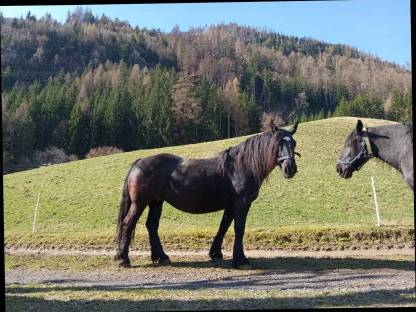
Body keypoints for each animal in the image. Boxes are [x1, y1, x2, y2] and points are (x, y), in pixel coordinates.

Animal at [114, 120, 300, 270]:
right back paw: (123, 259)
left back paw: (162, 257)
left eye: (294, 144)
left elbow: (223, 227)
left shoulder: (231, 205)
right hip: (140, 203)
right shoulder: (242, 202)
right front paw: (241, 260)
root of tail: (139, 162)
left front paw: (215, 253)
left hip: (156, 201)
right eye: (278, 144)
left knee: (152, 225)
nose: (290, 168)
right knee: (128, 224)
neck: (242, 165)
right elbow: (239, 229)